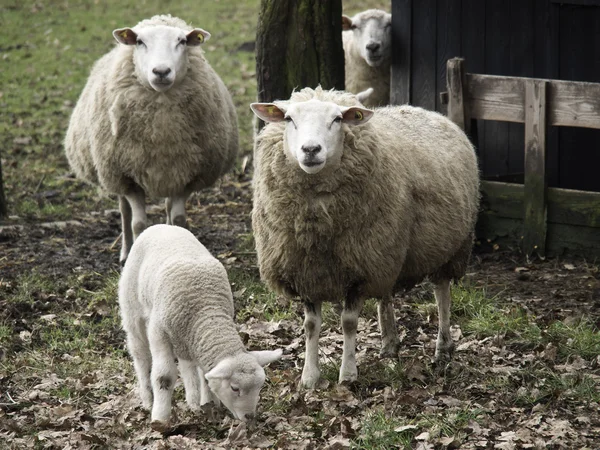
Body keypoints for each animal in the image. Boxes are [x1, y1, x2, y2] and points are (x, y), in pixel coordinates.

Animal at [63, 14, 237, 264]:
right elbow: (138, 224)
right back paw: (125, 251)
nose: (161, 71)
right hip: (114, 174)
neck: (161, 131)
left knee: (167, 207)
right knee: (124, 212)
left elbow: (179, 219)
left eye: (181, 41)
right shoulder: (126, 177)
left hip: (170, 175)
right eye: (140, 42)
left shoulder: (187, 174)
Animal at [119, 225, 284, 426]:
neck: (206, 309)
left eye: (260, 386)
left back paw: (194, 401)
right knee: (140, 355)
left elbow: (204, 375)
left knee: (187, 365)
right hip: (133, 310)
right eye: (234, 388)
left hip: (184, 340)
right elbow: (164, 377)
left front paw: (207, 404)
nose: (250, 418)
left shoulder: (197, 337)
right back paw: (148, 398)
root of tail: (161, 226)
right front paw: (160, 418)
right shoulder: (159, 333)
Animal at [251, 87, 480, 386]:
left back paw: (442, 348)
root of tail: (423, 109)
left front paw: (348, 374)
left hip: (448, 247)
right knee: (386, 293)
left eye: (337, 119)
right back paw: (390, 344)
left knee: (442, 293)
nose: (311, 150)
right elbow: (310, 325)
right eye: (289, 118)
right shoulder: (306, 270)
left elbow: (349, 323)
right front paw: (310, 377)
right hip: (387, 248)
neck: (317, 226)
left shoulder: (359, 269)